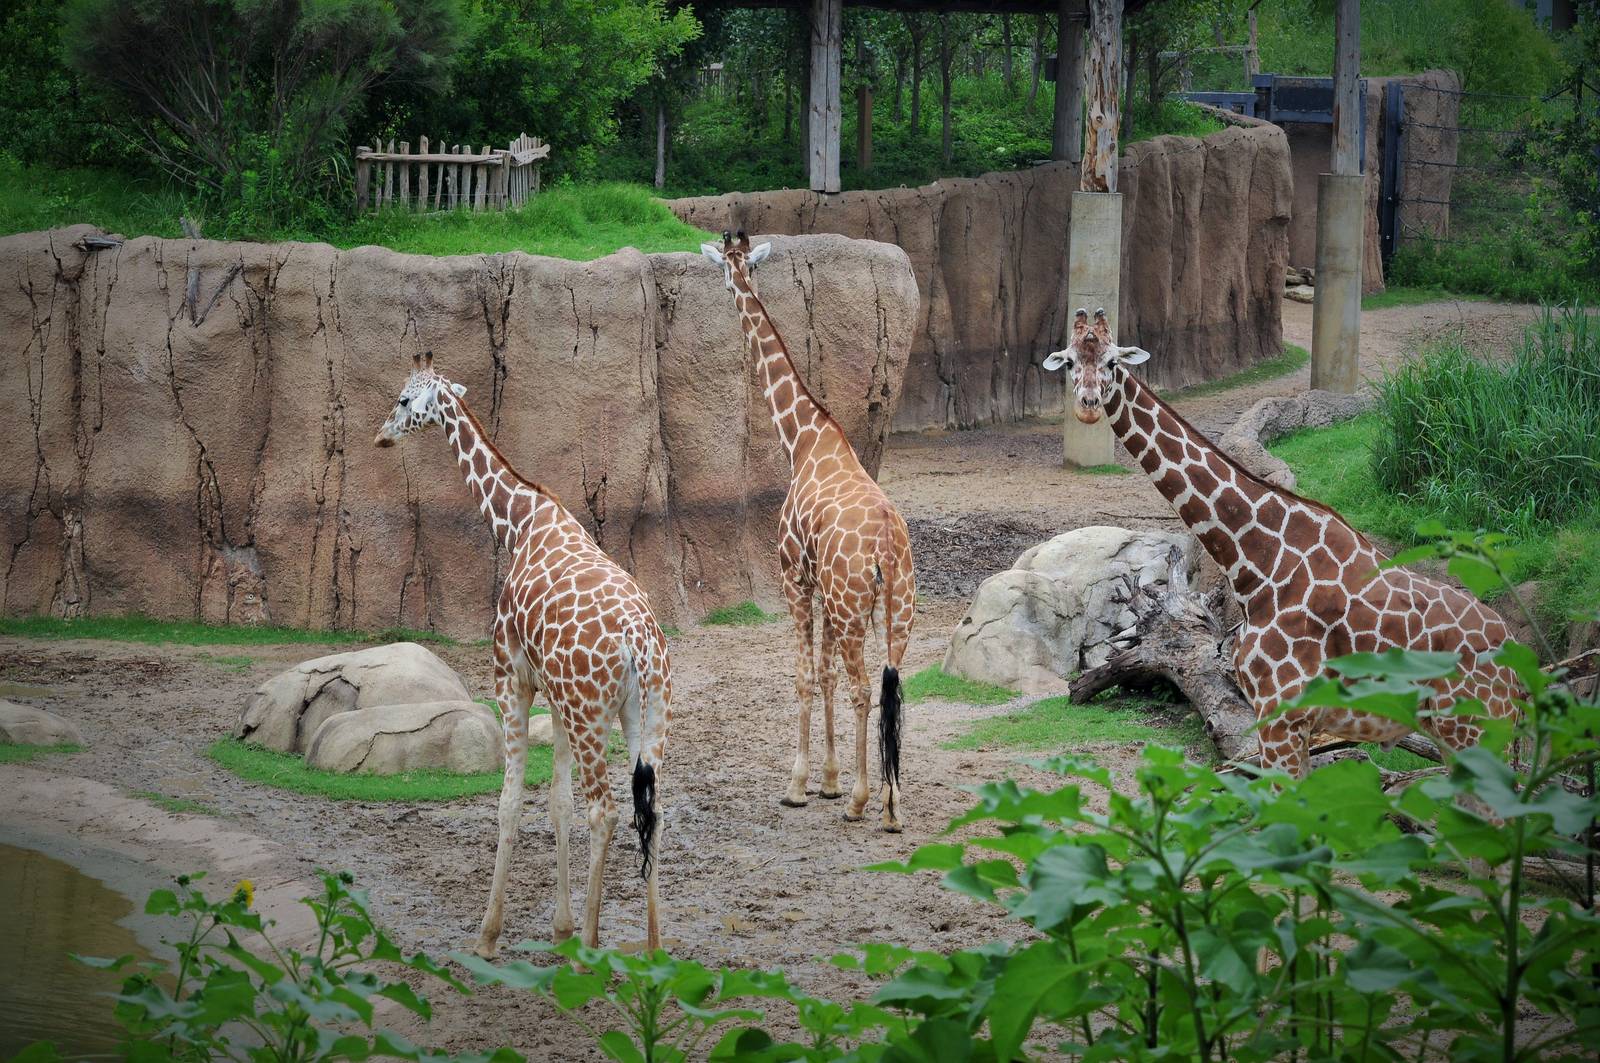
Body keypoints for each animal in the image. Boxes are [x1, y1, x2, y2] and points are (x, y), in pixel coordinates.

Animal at [374, 352, 671, 957]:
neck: (519, 521)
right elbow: (557, 802)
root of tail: (639, 642)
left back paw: (590, 950)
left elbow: (510, 801)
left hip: (590, 714)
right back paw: (653, 951)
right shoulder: (554, 696)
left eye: (403, 400)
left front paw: (489, 937)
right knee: (650, 810)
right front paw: (557, 929)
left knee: (605, 810)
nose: (381, 437)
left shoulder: (511, 678)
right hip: (644, 714)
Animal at [701, 231, 916, 831]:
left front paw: (799, 786)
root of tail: (887, 543)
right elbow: (822, 675)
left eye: (728, 269)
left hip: (851, 604)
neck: (802, 438)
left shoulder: (794, 577)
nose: (729, 285)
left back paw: (865, 803)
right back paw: (891, 806)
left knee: (865, 688)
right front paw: (828, 780)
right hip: (897, 607)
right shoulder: (819, 583)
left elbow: (802, 675)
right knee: (892, 687)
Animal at [1044, 309, 1520, 777]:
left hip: (1475, 732)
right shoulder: (1282, 718)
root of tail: (1519, 676)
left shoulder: (1282, 714)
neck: (1258, 562)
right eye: (1069, 362)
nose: (1088, 407)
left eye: (1112, 362)